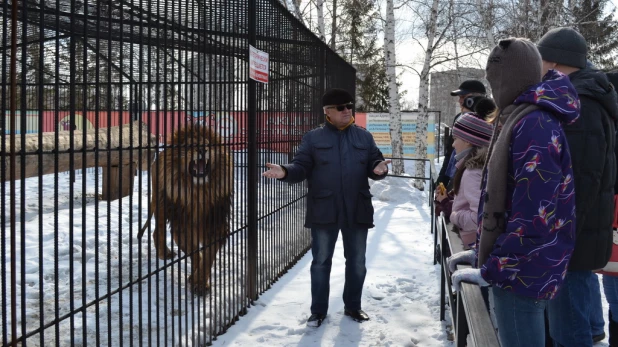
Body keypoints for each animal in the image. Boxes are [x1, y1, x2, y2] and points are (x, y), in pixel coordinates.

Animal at [138, 125, 232, 296]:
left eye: (207, 143)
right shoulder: (181, 227)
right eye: (190, 144)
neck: (198, 192)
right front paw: (196, 280)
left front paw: (199, 282)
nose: (202, 149)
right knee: (158, 231)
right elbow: (195, 253)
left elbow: (207, 257)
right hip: (160, 203)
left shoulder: (216, 226)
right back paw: (164, 253)